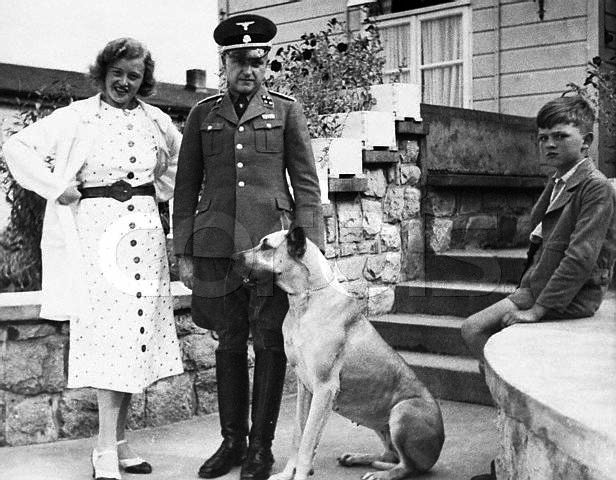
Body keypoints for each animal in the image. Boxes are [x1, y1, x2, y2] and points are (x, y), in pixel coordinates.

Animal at [233, 229, 446, 480]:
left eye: (266, 246)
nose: (232, 258)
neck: (303, 301)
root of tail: (439, 446)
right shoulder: (304, 387)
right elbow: (298, 434)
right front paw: (287, 474)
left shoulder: (324, 387)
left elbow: (307, 440)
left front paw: (300, 474)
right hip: (380, 423)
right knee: (390, 456)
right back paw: (357, 458)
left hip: (403, 411)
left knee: (407, 466)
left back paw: (381, 474)